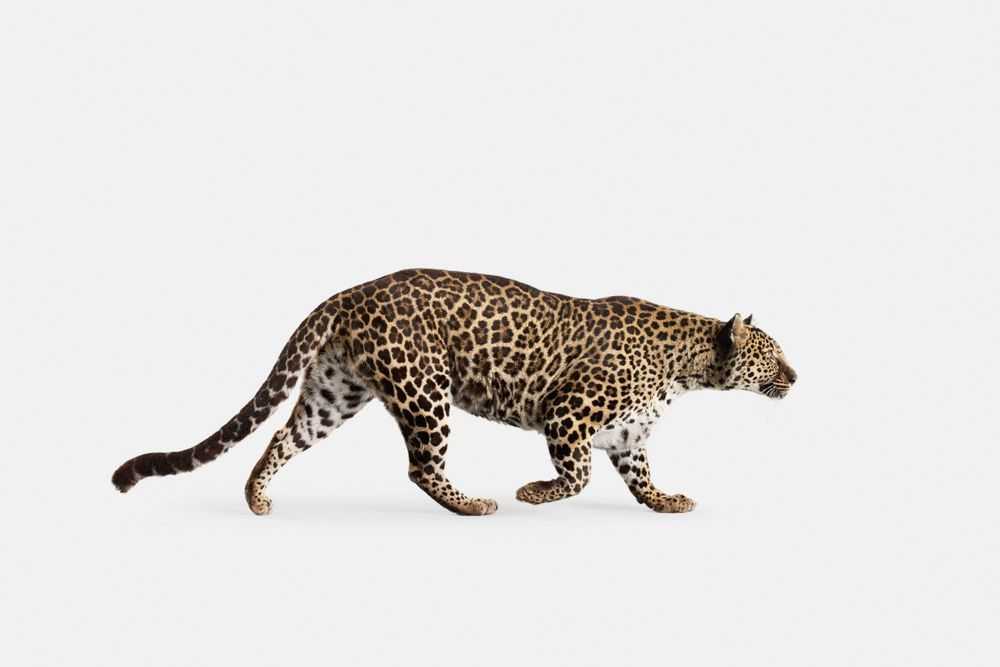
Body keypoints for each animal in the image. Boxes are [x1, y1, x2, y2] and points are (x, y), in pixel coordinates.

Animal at [112, 269, 797, 516]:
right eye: (773, 355)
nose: (797, 377)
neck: (688, 367)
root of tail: (348, 293)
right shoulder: (568, 415)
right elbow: (577, 476)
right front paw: (533, 493)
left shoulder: (628, 436)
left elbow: (639, 475)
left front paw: (665, 502)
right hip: (424, 387)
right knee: (421, 466)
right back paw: (472, 505)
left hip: (336, 391)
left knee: (285, 433)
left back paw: (256, 497)